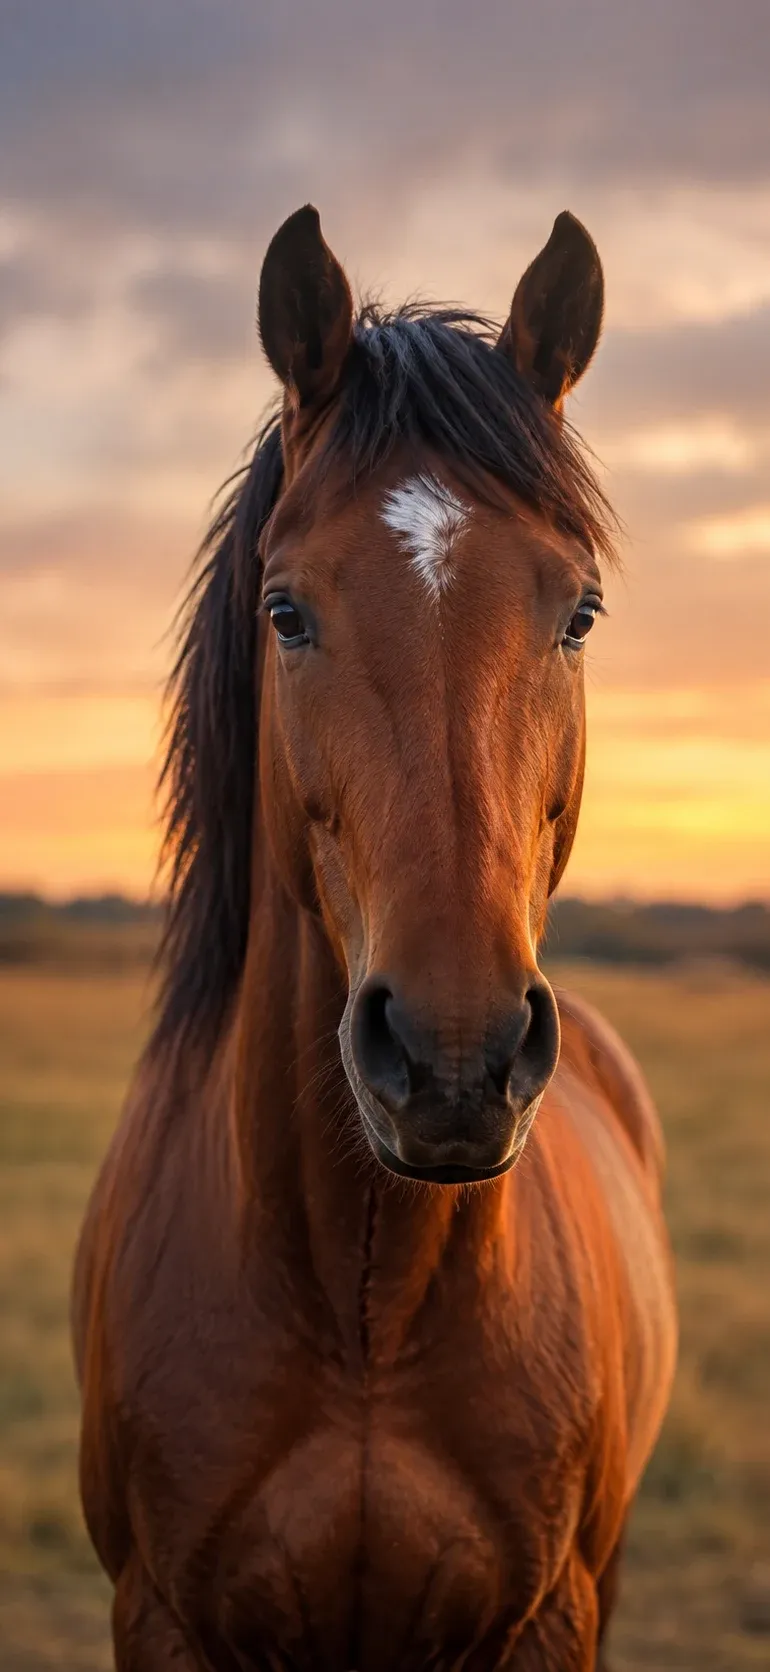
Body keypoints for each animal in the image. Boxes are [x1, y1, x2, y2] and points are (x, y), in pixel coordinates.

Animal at [73, 204, 677, 1671]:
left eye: (576, 612)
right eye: (286, 610)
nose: (455, 1059)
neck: (359, 1309)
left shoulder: (545, 1619)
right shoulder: (161, 1614)